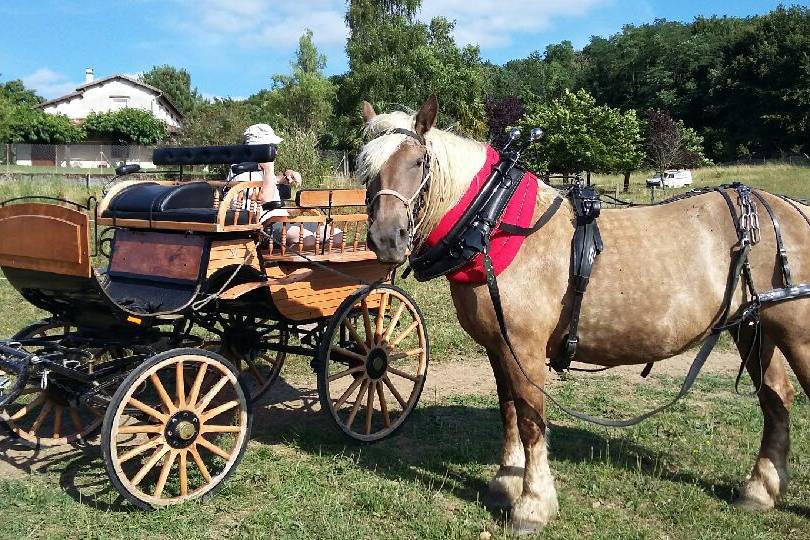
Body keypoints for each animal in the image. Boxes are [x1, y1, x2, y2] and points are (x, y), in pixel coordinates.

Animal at [358, 96, 808, 532]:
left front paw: (533, 504)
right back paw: (759, 490)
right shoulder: (498, 346)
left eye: (418, 161)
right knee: (775, 396)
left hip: (794, 332)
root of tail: (790, 207)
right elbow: (508, 411)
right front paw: (505, 482)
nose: (386, 238)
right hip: (752, 326)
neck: (493, 225)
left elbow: (531, 420)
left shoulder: (523, 347)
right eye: (366, 168)